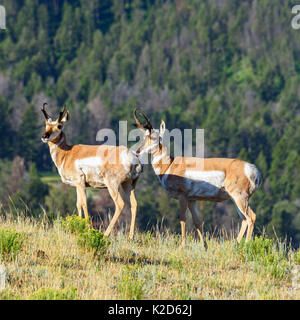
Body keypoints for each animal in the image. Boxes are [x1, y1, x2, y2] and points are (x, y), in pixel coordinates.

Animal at [40, 104, 142, 239]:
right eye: (46, 124)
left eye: (59, 126)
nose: (44, 136)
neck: (67, 153)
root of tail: (133, 155)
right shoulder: (76, 185)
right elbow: (78, 204)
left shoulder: (80, 182)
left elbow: (84, 203)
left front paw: (87, 230)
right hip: (128, 184)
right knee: (134, 204)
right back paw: (130, 237)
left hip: (112, 185)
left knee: (120, 204)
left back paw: (105, 234)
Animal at [135, 110, 262, 245]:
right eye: (144, 136)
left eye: (154, 137)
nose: (137, 151)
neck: (170, 165)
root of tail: (252, 169)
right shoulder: (192, 200)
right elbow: (197, 222)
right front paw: (204, 246)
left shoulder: (183, 196)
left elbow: (183, 219)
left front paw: (183, 245)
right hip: (235, 199)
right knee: (244, 219)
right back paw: (235, 244)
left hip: (240, 197)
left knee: (251, 217)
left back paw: (246, 244)